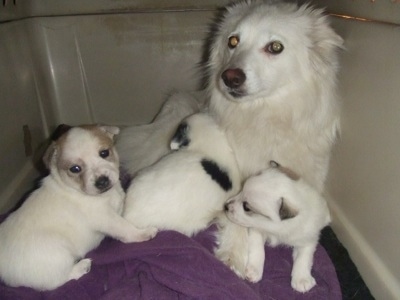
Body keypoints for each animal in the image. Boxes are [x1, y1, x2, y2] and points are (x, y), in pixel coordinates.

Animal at [0, 125, 158, 290]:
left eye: (104, 153)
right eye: (75, 169)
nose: (102, 181)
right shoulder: (106, 218)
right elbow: (125, 228)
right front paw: (143, 233)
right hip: (59, 257)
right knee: (58, 281)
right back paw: (81, 267)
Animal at [116, 0, 344, 278]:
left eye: (275, 47)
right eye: (233, 41)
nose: (230, 77)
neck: (263, 117)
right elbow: (237, 219)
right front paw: (234, 256)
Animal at [223, 162, 330, 292]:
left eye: (246, 207)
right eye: (241, 189)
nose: (226, 206)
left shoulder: (308, 238)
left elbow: (304, 257)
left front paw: (302, 279)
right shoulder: (256, 228)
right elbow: (258, 248)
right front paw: (254, 269)